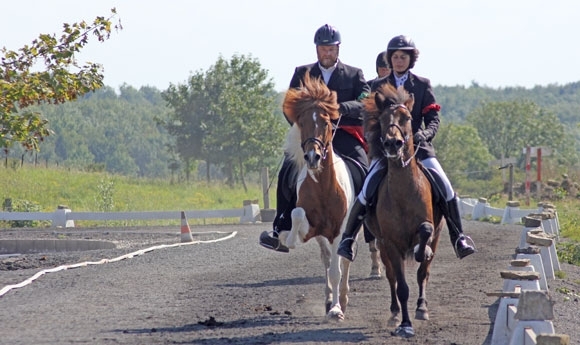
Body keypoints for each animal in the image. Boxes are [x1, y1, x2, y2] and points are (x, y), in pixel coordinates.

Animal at [278, 72, 356, 320]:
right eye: (301, 122)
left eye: (326, 122)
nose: (312, 157)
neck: (323, 188)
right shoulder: (313, 228)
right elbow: (297, 213)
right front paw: (286, 239)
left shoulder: (339, 231)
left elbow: (336, 271)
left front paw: (337, 310)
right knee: (327, 259)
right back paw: (329, 299)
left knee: (343, 261)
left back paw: (341, 300)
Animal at [362, 83, 444, 336]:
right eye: (382, 119)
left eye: (407, 118)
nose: (392, 143)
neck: (403, 190)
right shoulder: (390, 243)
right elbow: (401, 287)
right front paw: (405, 325)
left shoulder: (429, 226)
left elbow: (425, 235)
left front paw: (421, 250)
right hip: (382, 245)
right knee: (391, 278)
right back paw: (395, 314)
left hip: (437, 237)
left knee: (423, 273)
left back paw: (422, 307)